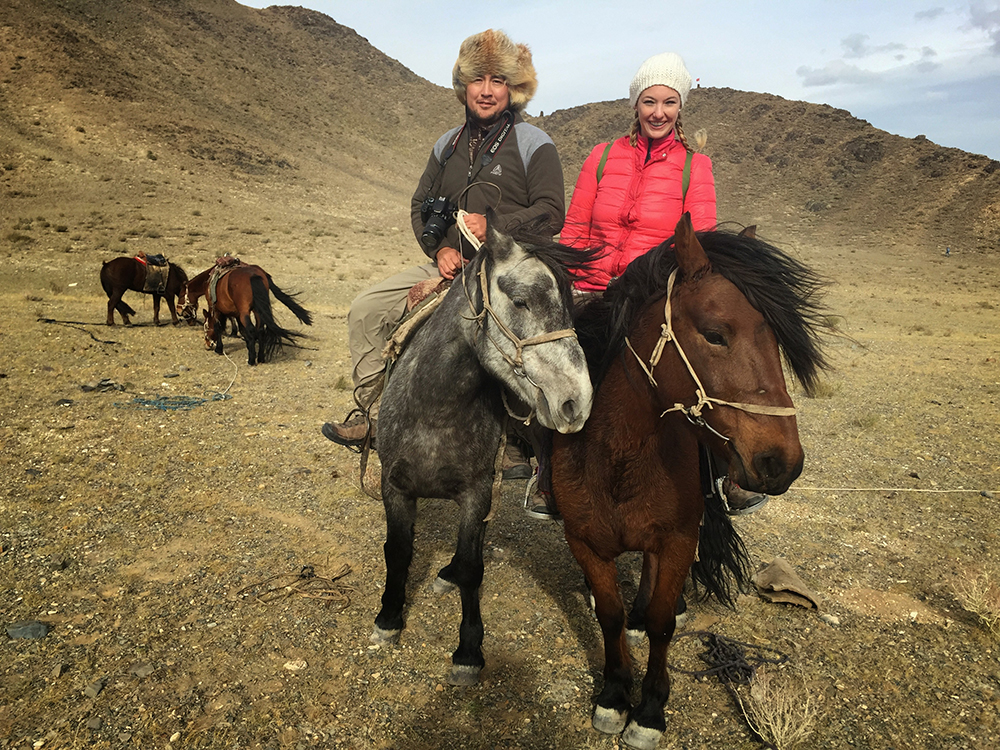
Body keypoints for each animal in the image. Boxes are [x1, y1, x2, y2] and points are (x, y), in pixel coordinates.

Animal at [370, 212, 596, 686]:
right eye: (522, 301)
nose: (577, 401)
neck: (434, 412)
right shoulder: (393, 488)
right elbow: (397, 552)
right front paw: (388, 618)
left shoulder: (477, 494)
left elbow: (474, 568)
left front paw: (469, 651)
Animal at [552, 215, 827, 750]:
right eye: (715, 334)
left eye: (776, 340)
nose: (782, 462)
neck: (619, 457)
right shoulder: (584, 541)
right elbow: (609, 615)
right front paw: (614, 694)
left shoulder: (678, 539)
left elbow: (661, 622)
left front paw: (649, 710)